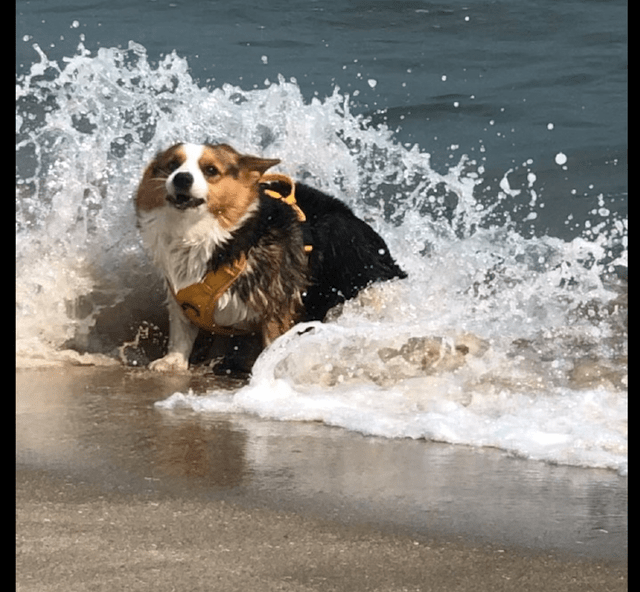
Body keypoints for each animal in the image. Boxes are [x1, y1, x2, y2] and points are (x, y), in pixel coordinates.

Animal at [135, 143, 404, 372]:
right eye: (172, 164)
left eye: (210, 170)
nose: (182, 178)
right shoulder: (180, 296)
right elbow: (182, 331)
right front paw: (172, 362)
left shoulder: (277, 302)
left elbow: (274, 338)